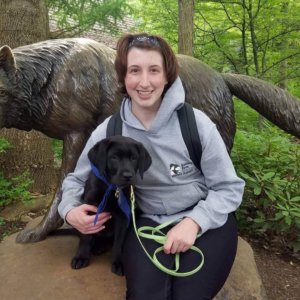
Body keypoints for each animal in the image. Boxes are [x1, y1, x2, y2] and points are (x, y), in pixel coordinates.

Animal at [71, 135, 152, 276]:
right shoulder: (89, 210)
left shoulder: (123, 217)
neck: (112, 188)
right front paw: (81, 257)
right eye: (114, 157)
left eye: (134, 158)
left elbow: (119, 242)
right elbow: (86, 236)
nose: (128, 176)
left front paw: (118, 262)